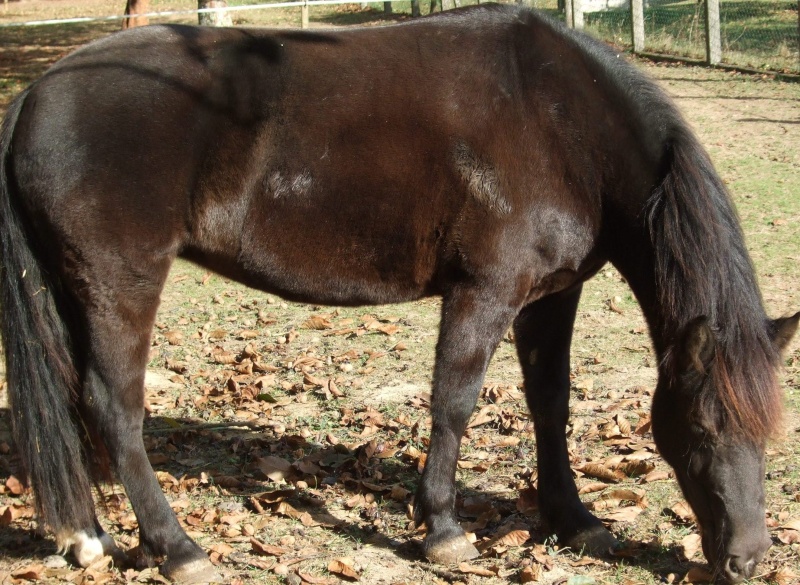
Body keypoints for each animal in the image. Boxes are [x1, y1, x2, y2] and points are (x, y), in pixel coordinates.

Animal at [0, 5, 796, 584]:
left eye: (768, 431)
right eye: (703, 426)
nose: (750, 559)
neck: (563, 118)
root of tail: (36, 93)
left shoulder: (550, 295)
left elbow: (551, 402)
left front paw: (574, 519)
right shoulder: (485, 291)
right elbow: (454, 401)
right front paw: (443, 529)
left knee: (76, 402)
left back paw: (86, 535)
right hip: (120, 283)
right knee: (114, 407)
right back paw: (178, 548)